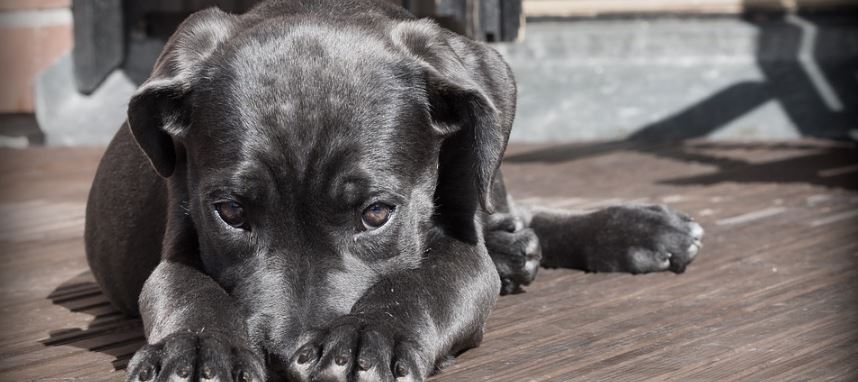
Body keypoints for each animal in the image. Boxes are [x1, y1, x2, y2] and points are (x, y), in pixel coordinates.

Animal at [85, 1, 704, 380]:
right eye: (231, 212)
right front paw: (197, 348)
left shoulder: (460, 245)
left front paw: (367, 336)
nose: (285, 358)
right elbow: (183, 287)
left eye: (377, 213)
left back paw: (636, 229)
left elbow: (425, 281)